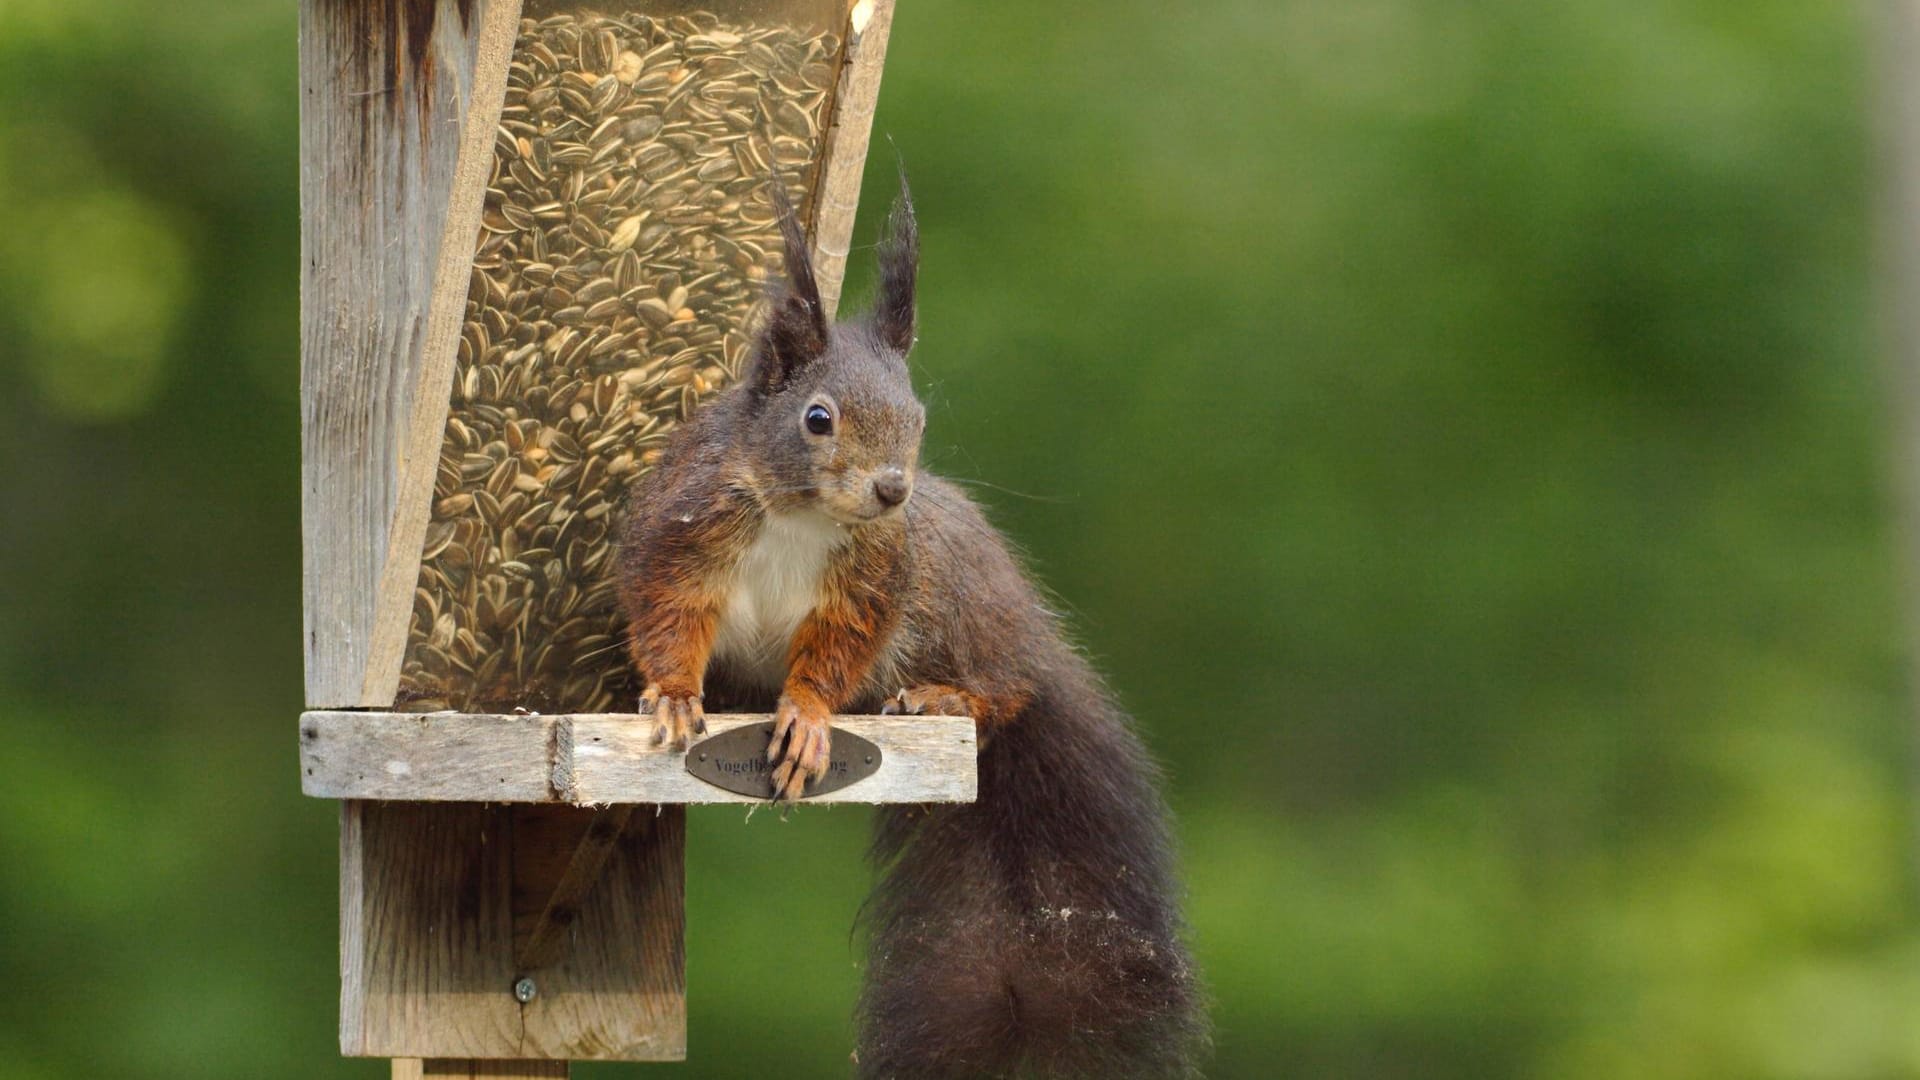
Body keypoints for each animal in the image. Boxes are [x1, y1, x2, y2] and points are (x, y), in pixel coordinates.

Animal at [622, 182, 1205, 1076]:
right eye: (817, 418)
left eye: (919, 418)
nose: (894, 489)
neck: (800, 513)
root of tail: (1032, 630)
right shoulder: (683, 540)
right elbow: (668, 617)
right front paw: (677, 695)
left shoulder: (874, 582)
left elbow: (836, 653)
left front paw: (808, 721)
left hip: (956, 597)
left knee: (1009, 686)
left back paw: (946, 698)